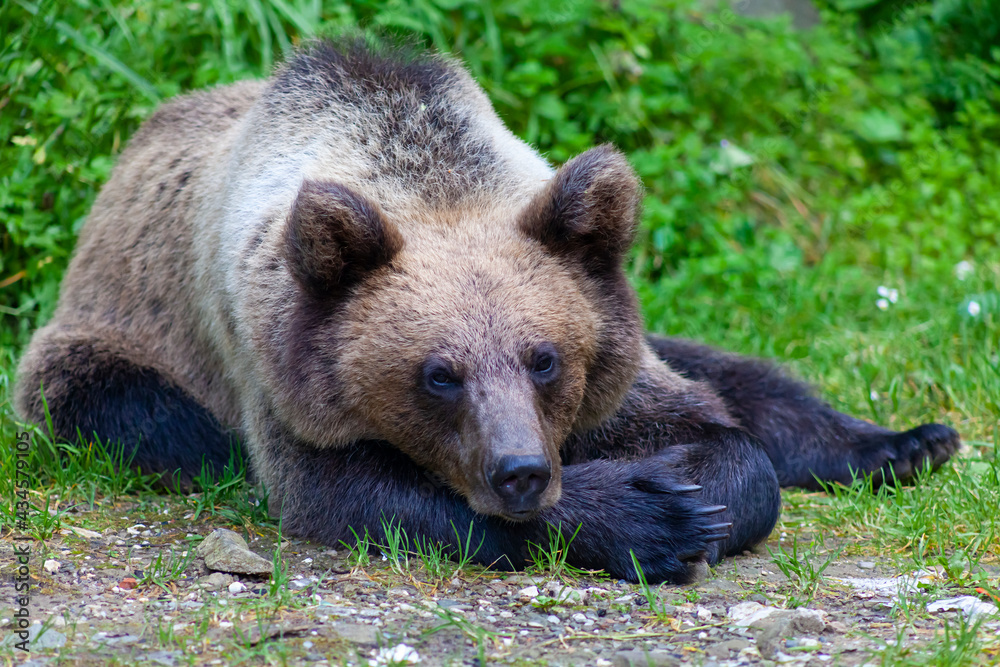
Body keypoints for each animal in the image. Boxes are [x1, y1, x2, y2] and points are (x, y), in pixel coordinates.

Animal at [14, 38, 959, 584]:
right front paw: (643, 514)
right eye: (439, 373)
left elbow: (727, 440)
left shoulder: (611, 353)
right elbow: (359, 490)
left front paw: (693, 490)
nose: (521, 470)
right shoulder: (276, 362)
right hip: (110, 336)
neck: (418, 169)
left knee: (741, 373)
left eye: (545, 357)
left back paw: (908, 442)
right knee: (142, 408)